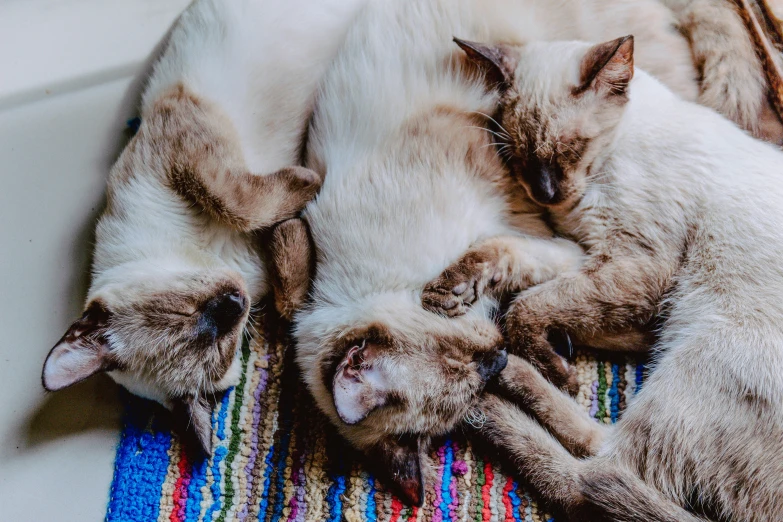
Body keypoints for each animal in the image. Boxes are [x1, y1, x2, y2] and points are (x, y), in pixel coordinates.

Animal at [39, 0, 364, 450]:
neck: (210, 256)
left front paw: (308, 181)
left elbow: (238, 204)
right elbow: (288, 296)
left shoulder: (189, 150)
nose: (234, 303)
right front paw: (299, 213)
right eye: (221, 345)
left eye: (180, 310)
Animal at [432, 34, 783, 516]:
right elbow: (510, 257)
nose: (545, 193)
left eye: (572, 149)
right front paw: (452, 292)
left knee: (594, 474)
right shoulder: (586, 251)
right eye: (518, 157)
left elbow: (528, 306)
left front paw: (556, 365)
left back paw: (497, 390)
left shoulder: (635, 265)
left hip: (702, 351)